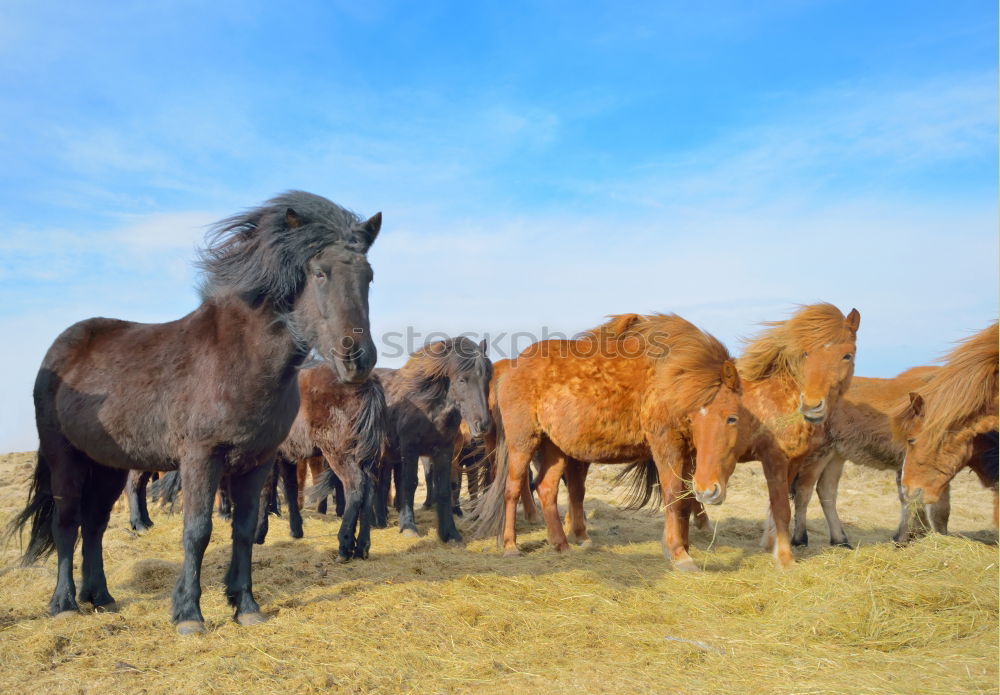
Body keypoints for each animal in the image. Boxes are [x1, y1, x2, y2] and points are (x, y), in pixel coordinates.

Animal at [254, 368, 386, 564]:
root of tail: (369, 383)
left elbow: (265, 490)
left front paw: (258, 534)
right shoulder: (286, 455)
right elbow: (291, 488)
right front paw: (296, 530)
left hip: (338, 452)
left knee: (355, 486)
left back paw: (344, 545)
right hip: (367, 457)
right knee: (369, 488)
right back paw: (362, 547)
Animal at [376, 338, 492, 544]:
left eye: (487, 378)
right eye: (462, 379)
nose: (483, 425)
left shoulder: (445, 451)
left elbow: (445, 489)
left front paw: (450, 532)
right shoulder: (410, 449)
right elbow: (409, 484)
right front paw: (408, 527)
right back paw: (379, 520)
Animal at [472, 316, 748, 572]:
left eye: (733, 417)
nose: (713, 492)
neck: (674, 379)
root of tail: (511, 369)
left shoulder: (689, 453)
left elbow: (687, 497)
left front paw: (684, 546)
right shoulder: (666, 446)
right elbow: (674, 495)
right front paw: (679, 552)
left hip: (554, 448)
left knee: (547, 489)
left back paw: (561, 544)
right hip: (523, 442)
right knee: (513, 489)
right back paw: (511, 545)